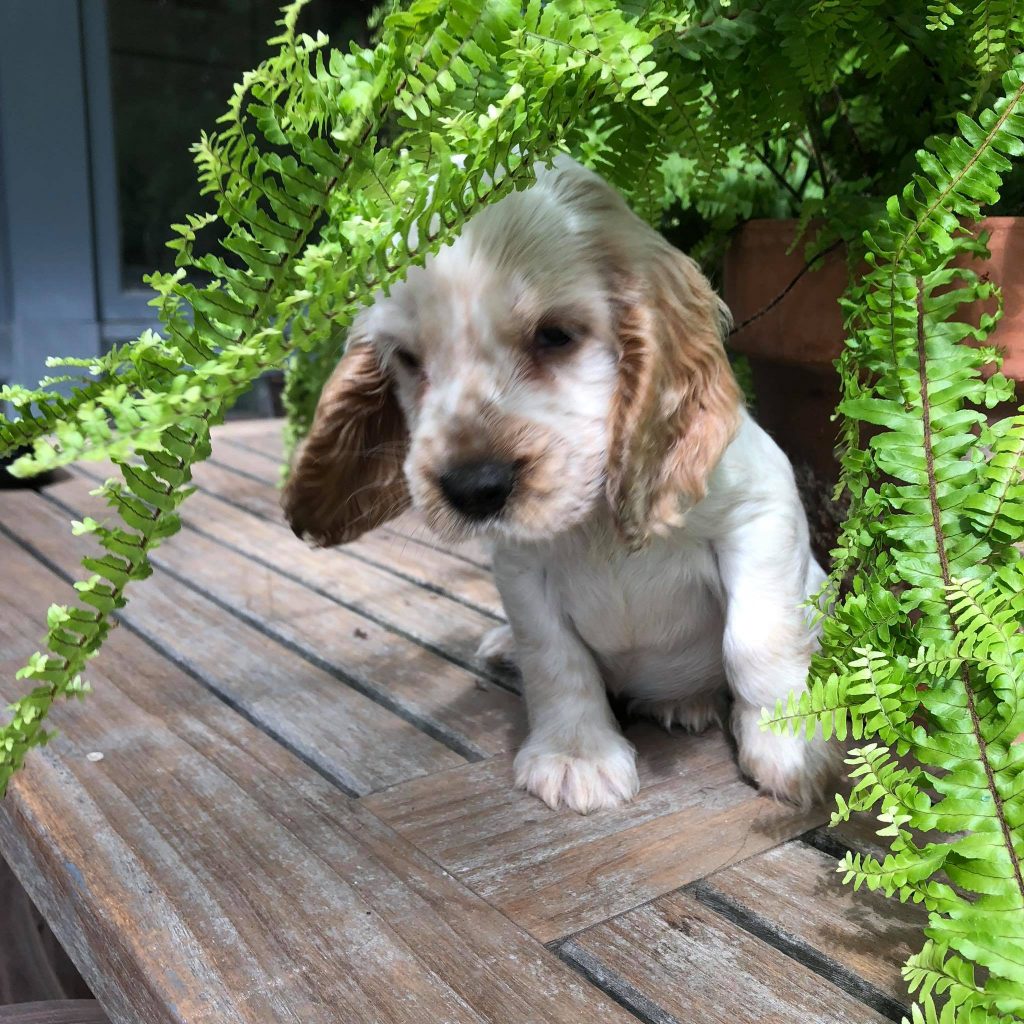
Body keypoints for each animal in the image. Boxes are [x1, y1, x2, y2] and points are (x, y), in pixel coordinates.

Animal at [282, 157, 839, 815]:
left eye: (554, 335)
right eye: (408, 359)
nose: (473, 488)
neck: (595, 520)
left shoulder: (760, 514)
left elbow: (757, 639)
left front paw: (791, 744)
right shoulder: (524, 573)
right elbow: (555, 660)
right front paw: (577, 755)